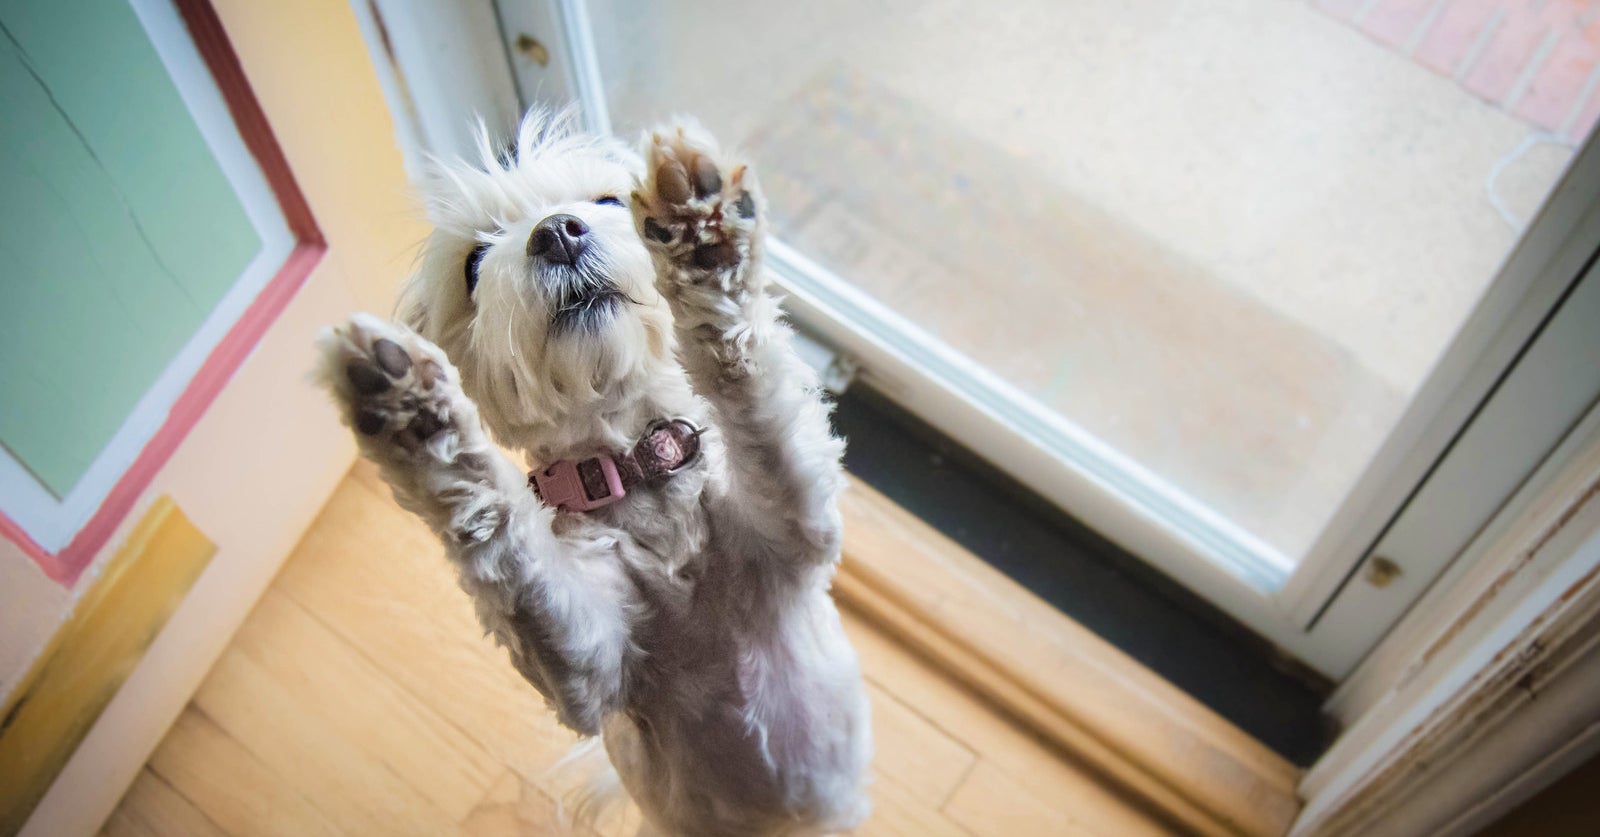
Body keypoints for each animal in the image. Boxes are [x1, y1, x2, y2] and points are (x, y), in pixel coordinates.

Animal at [313, 112, 876, 837]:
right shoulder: (592, 665)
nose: (555, 231)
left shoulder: (798, 523)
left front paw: (703, 237)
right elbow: (508, 548)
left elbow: (748, 384)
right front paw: (416, 413)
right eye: (473, 263)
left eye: (608, 201)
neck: (639, 466)